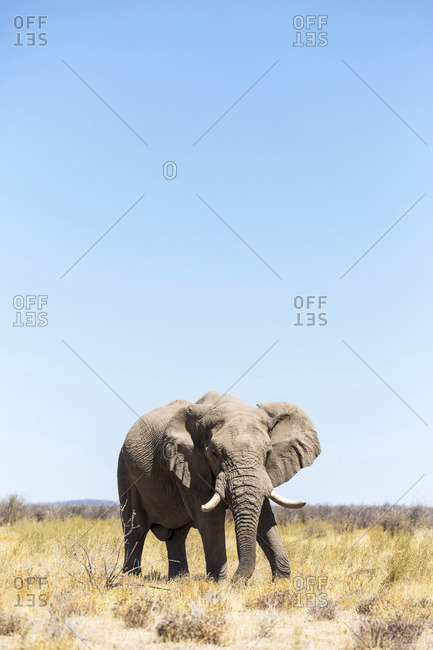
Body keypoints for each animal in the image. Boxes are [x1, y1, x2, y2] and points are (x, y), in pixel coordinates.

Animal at [117, 391, 320, 583]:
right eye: (214, 453)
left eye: (268, 453)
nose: (237, 582)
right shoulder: (191, 465)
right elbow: (210, 520)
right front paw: (219, 584)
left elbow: (264, 517)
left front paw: (281, 580)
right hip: (125, 471)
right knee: (135, 529)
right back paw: (130, 578)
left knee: (177, 534)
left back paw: (178, 579)